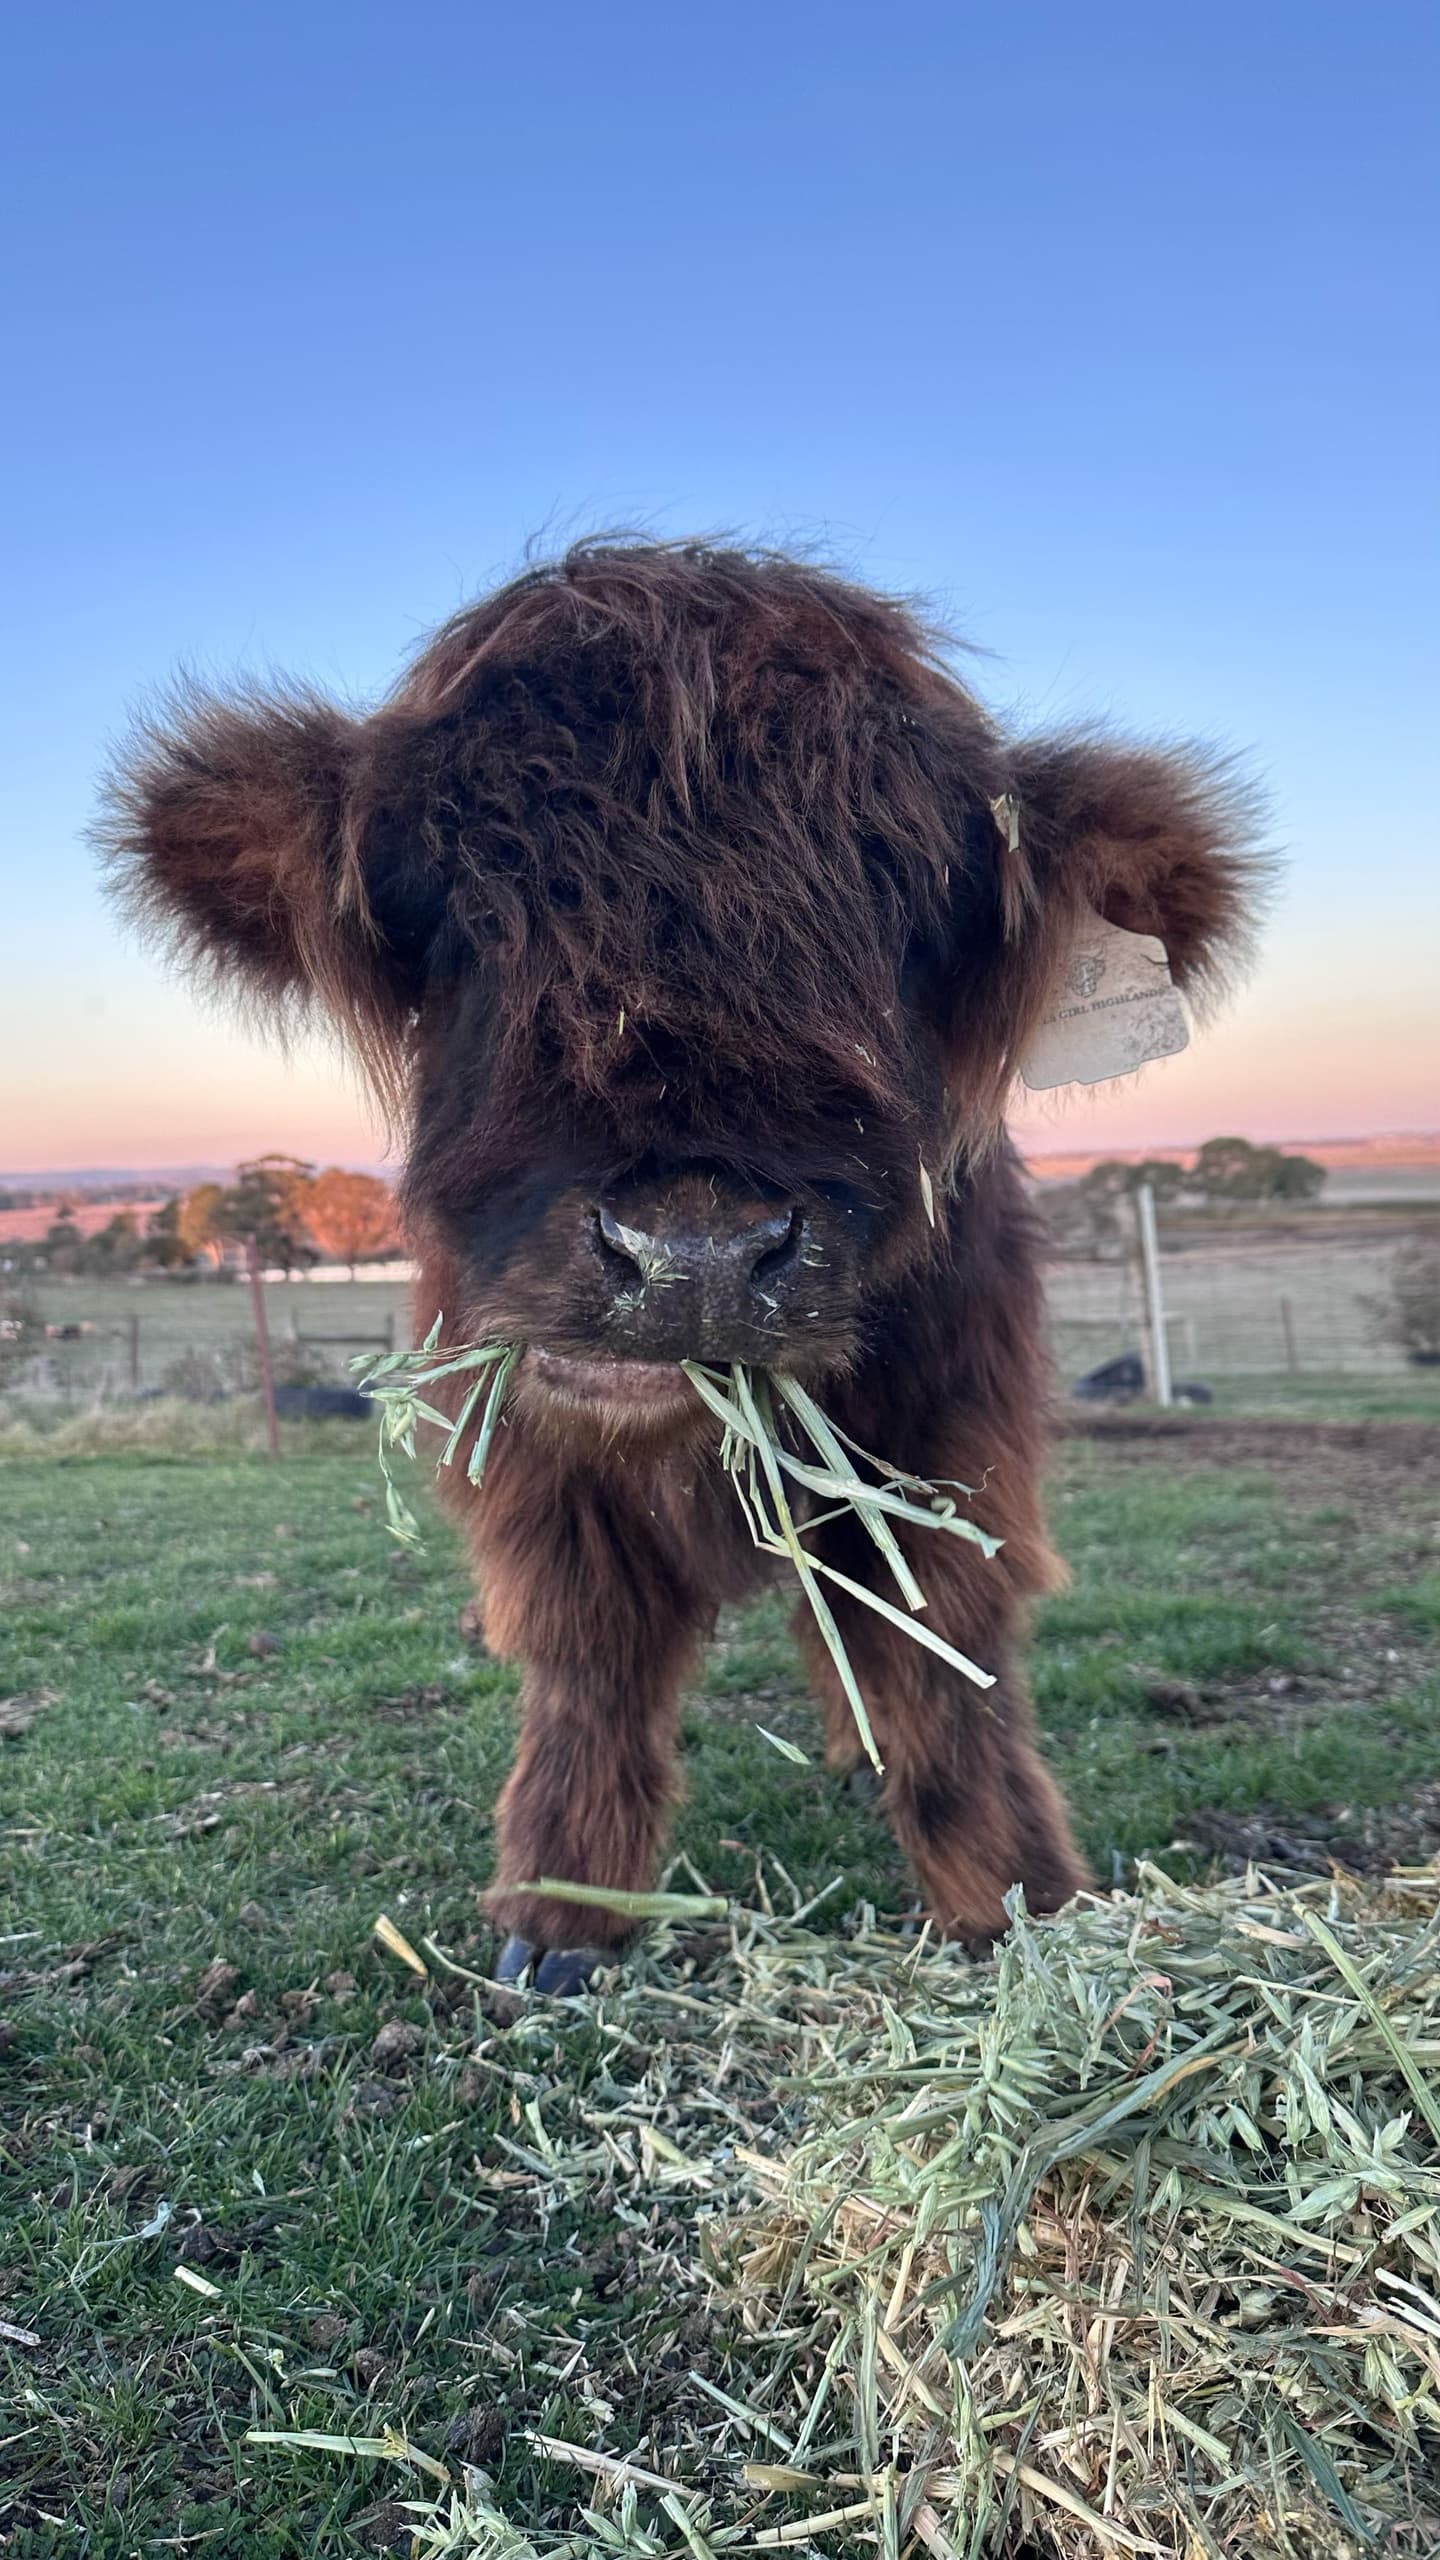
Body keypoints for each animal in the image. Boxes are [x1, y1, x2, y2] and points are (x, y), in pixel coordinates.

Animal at [100, 539, 1264, 1989]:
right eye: (454, 914)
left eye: (912, 918)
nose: (694, 1252)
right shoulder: (534, 1466)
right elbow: (590, 1657)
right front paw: (559, 1916)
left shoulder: (951, 1438)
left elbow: (942, 1651)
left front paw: (1009, 1903)